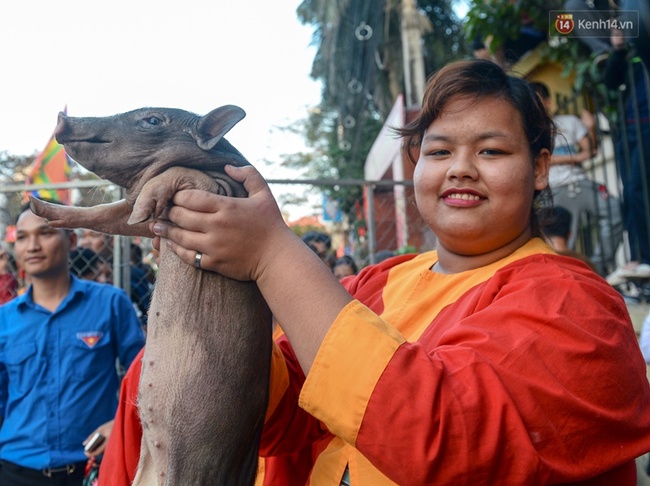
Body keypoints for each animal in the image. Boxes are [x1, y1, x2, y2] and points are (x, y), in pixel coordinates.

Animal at [30, 106, 272, 486]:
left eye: (153, 120)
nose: (61, 116)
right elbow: (111, 216)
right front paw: (37, 206)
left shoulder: (222, 190)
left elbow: (176, 174)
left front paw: (143, 206)